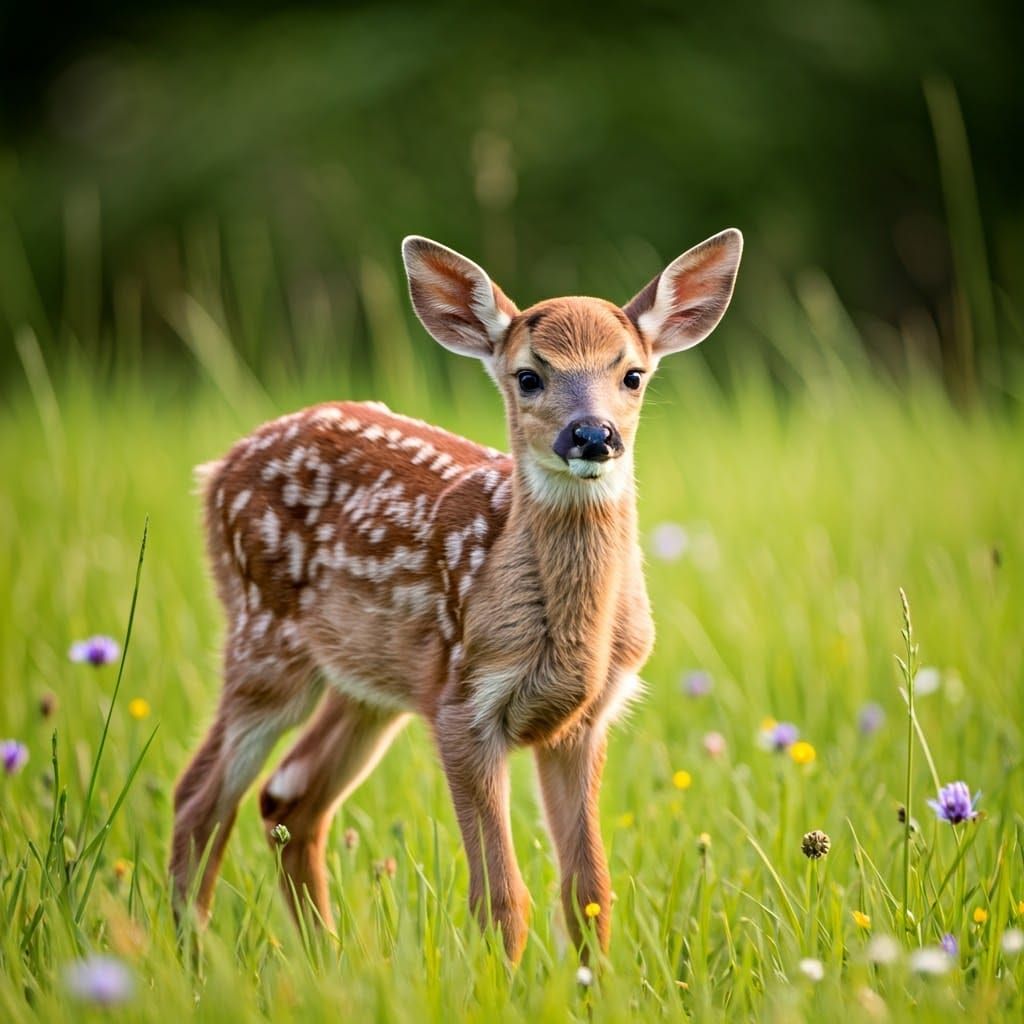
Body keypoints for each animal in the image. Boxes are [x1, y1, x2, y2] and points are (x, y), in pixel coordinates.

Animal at [170, 228, 743, 961]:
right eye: (529, 376)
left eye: (632, 375)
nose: (592, 435)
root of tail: (216, 470)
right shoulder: (463, 705)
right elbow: (500, 899)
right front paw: (502, 980)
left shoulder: (585, 720)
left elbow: (588, 892)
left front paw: (595, 980)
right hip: (264, 640)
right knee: (199, 797)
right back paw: (193, 959)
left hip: (367, 686)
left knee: (288, 797)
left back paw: (326, 959)